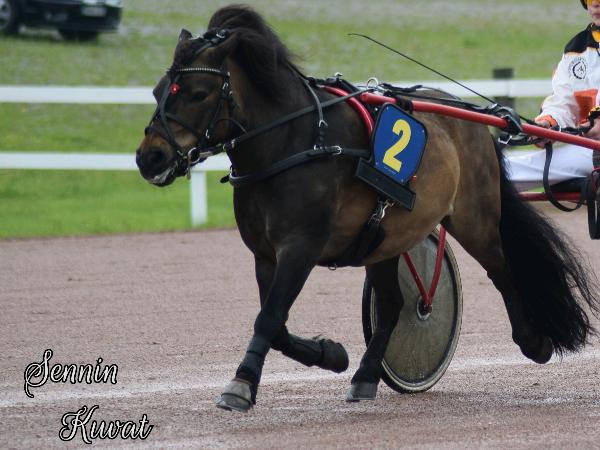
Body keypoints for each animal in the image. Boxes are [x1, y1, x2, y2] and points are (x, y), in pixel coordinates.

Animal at [136, 5, 599, 412]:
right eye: (157, 91)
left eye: (197, 93)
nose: (149, 158)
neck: (295, 143)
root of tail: (474, 122)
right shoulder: (265, 254)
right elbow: (276, 323)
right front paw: (331, 354)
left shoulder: (301, 246)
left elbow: (268, 319)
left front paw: (241, 385)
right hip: (388, 236)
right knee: (395, 303)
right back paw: (366, 374)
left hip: (475, 219)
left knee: (502, 270)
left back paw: (533, 341)